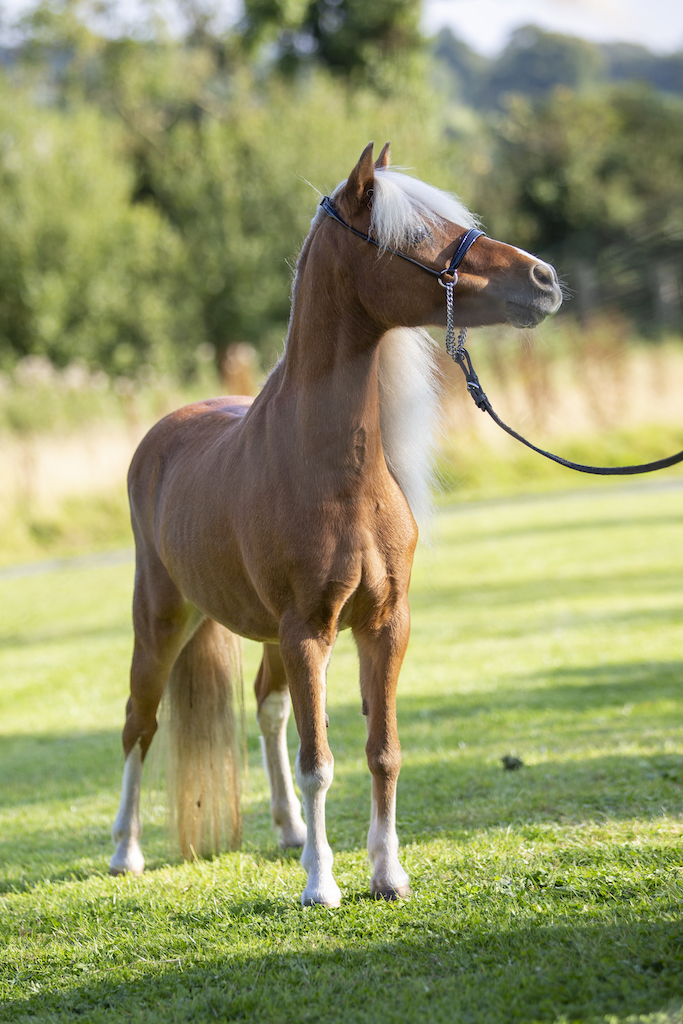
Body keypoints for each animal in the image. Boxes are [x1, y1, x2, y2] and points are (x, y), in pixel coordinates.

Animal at [110, 142, 562, 906]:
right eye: (418, 232)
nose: (543, 278)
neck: (333, 471)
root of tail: (165, 433)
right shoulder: (310, 631)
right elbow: (319, 760)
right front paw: (321, 884)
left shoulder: (384, 624)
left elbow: (382, 751)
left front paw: (386, 873)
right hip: (164, 619)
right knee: (140, 723)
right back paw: (125, 852)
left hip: (261, 633)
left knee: (266, 708)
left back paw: (289, 831)